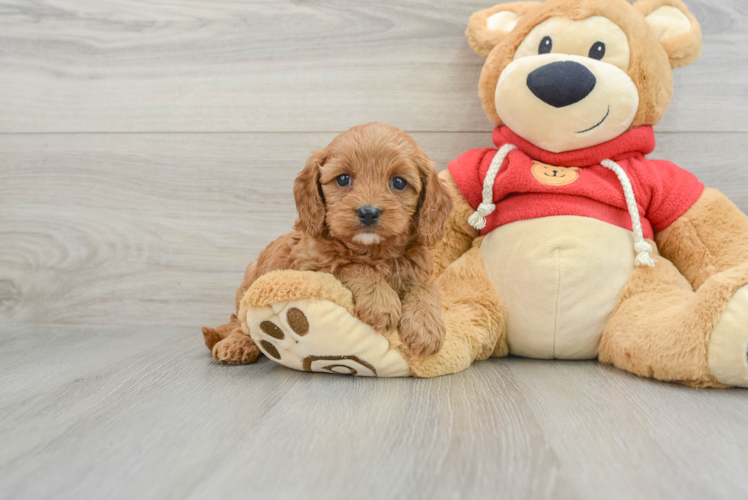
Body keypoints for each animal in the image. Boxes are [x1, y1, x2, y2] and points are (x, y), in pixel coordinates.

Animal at [202, 121, 452, 364]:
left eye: (398, 182)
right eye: (343, 179)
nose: (368, 212)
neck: (372, 250)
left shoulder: (420, 269)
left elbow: (425, 288)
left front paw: (426, 327)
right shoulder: (312, 266)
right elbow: (352, 267)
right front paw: (381, 302)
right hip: (249, 285)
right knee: (240, 323)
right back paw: (237, 345)